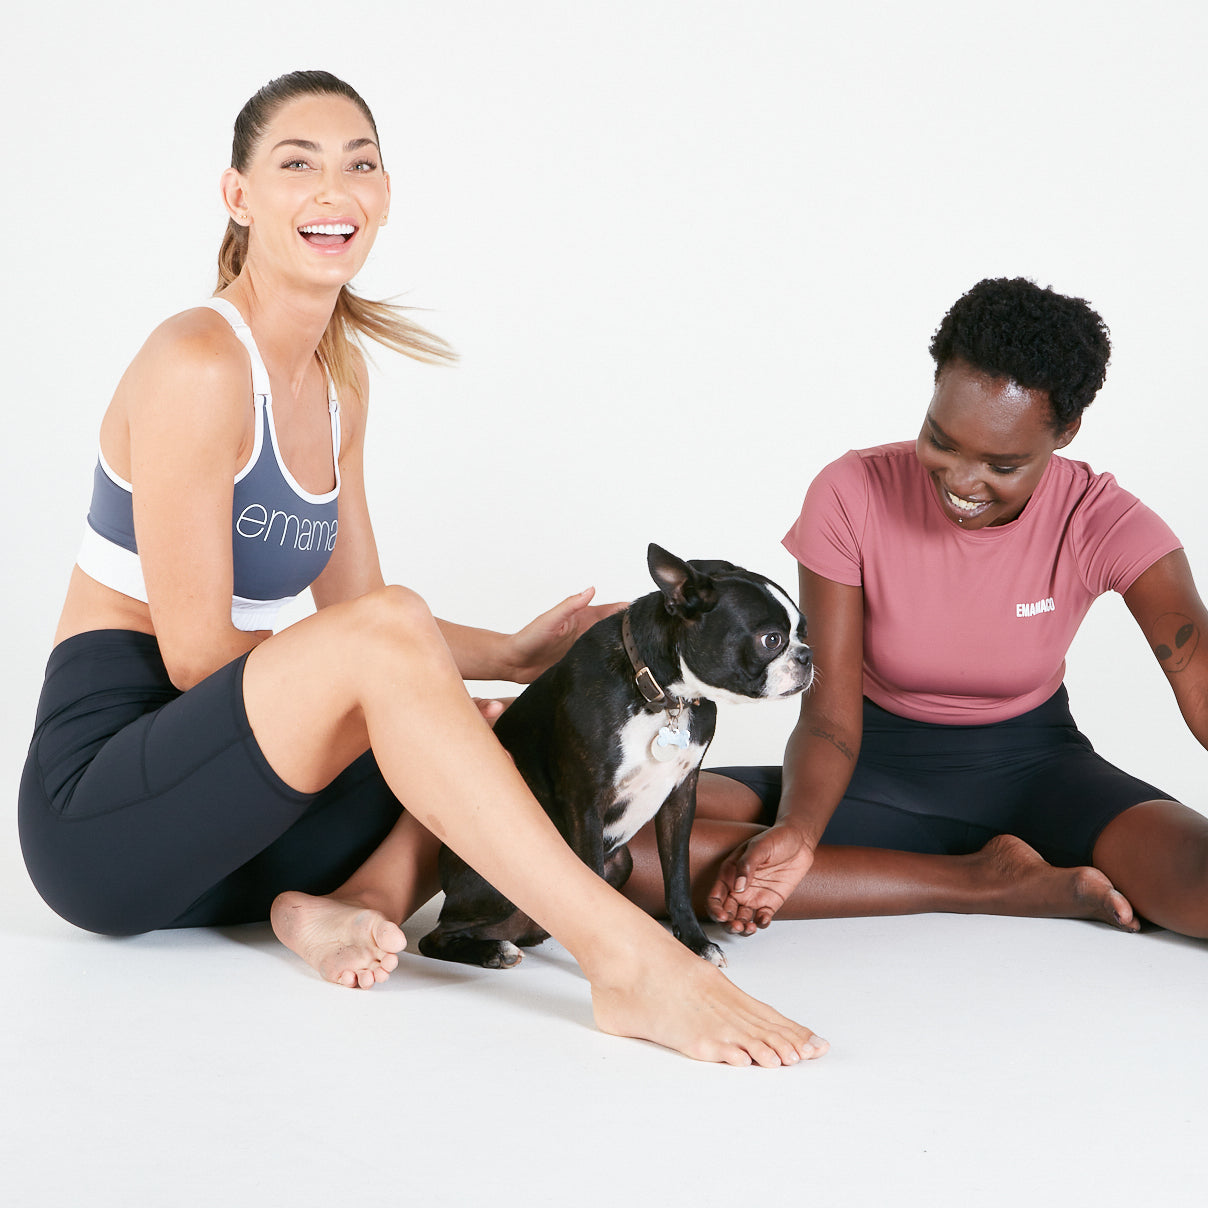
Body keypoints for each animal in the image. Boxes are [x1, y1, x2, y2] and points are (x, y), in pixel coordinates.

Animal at [417, 548, 811, 971]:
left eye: (804, 633)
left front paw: (695, 943)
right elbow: (591, 878)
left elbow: (678, 877)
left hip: (622, 865)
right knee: (435, 937)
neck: (662, 695)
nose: (807, 656)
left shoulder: (680, 797)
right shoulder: (586, 800)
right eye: (771, 639)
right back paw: (493, 951)